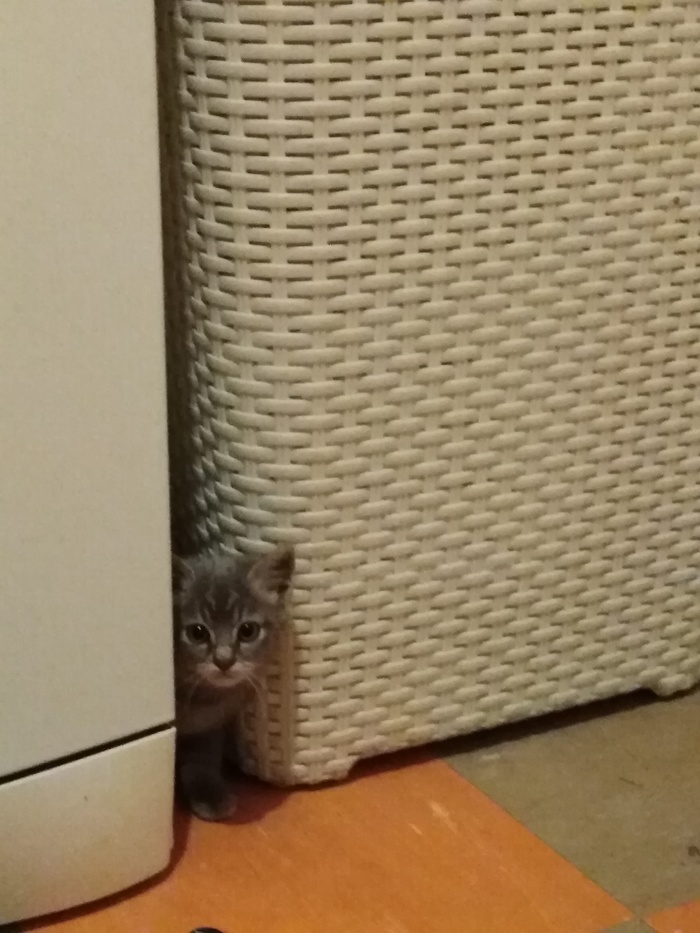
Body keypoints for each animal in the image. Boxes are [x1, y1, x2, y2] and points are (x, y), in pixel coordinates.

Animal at [172, 544, 294, 821]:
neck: (201, 700)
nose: (224, 660)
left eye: (248, 631)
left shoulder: (207, 727)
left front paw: (208, 791)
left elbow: (201, 759)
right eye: (197, 633)